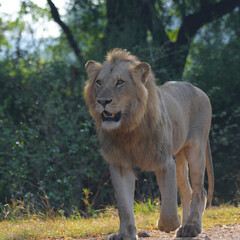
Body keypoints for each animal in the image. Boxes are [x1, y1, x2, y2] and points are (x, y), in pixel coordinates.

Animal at [84, 47, 214, 239]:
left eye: (120, 82)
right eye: (99, 82)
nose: (102, 101)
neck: (128, 129)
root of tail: (198, 89)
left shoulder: (165, 162)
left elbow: (168, 204)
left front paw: (167, 225)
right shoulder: (120, 165)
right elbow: (124, 206)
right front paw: (125, 234)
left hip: (195, 149)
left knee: (199, 191)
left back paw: (191, 227)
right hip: (179, 156)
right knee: (187, 191)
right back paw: (184, 227)